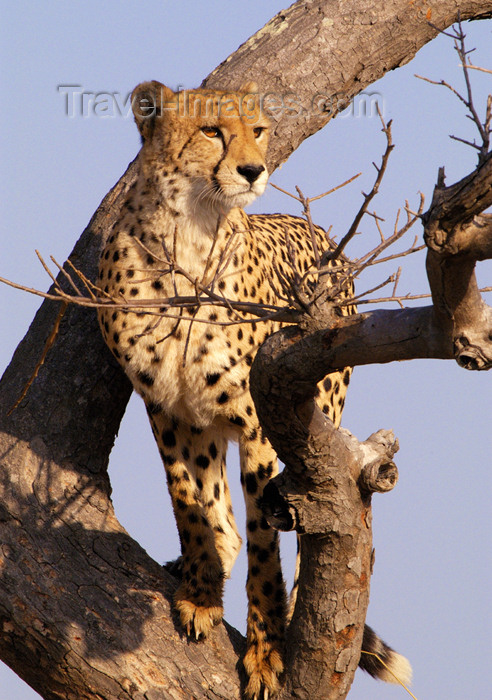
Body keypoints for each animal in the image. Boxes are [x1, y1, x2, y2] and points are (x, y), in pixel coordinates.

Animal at [96, 80, 412, 696]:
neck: (190, 236)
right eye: (211, 131)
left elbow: (266, 540)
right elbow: (189, 501)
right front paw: (200, 591)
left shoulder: (259, 423)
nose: (252, 169)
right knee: (222, 513)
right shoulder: (169, 409)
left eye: (258, 130)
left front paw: (267, 652)